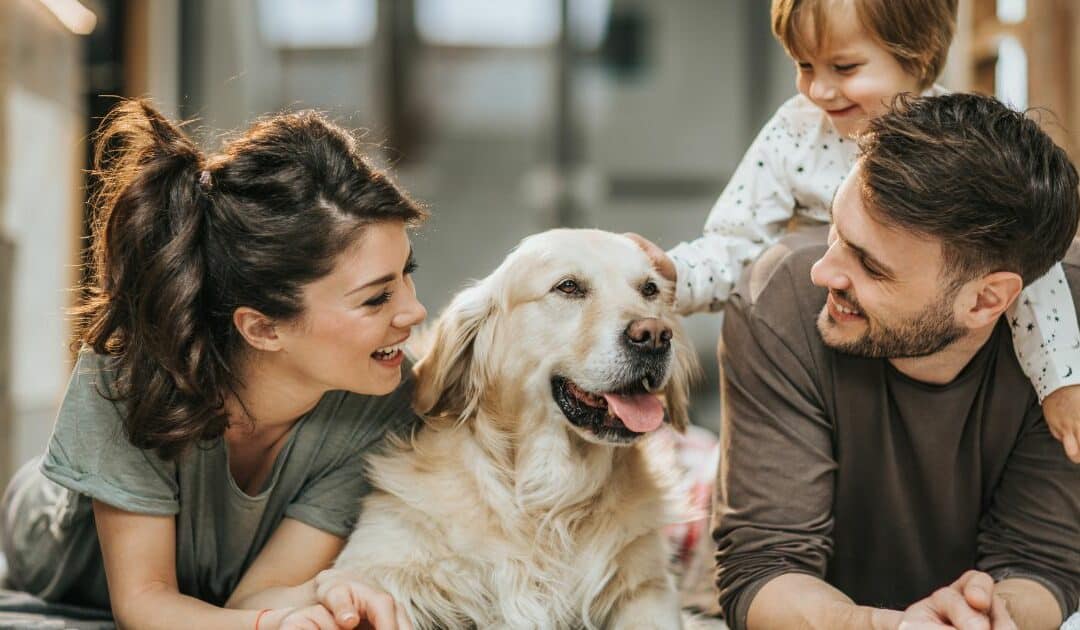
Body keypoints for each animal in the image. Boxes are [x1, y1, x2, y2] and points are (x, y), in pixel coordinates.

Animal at [332, 229, 695, 626]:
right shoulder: (374, 566)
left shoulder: (648, 586)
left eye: (650, 289)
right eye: (568, 286)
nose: (655, 335)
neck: (547, 496)